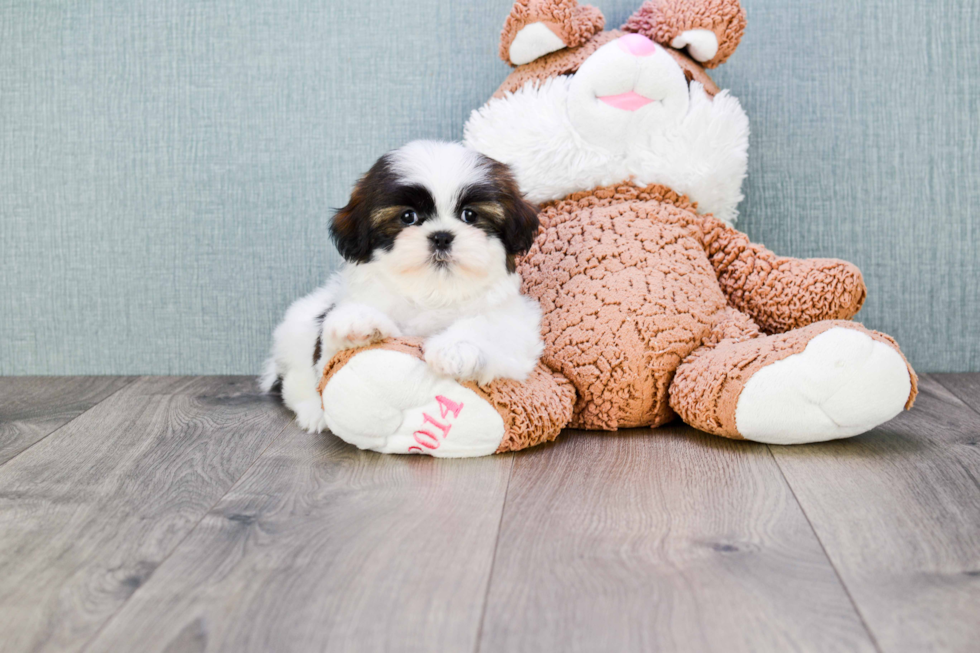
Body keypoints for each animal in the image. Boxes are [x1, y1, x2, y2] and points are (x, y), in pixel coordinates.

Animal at [260, 139, 544, 432]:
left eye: (470, 215)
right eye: (409, 217)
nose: (441, 237)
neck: (432, 291)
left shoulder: (516, 328)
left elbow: (491, 329)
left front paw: (456, 348)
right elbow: (330, 358)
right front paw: (358, 321)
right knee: (295, 383)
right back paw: (313, 412)